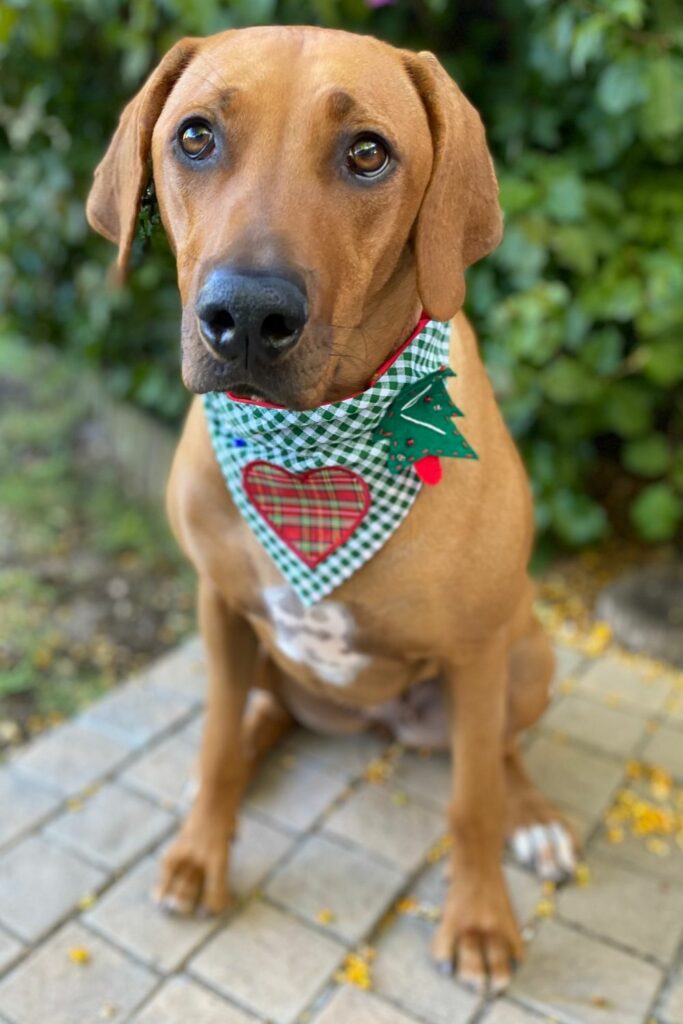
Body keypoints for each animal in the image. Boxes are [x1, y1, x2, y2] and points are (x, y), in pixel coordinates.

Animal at [87, 28, 577, 995]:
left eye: (367, 153)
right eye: (194, 136)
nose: (245, 315)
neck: (308, 456)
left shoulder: (476, 652)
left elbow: (471, 800)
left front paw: (479, 920)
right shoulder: (217, 604)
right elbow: (209, 742)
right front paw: (201, 852)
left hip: (525, 652)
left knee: (499, 752)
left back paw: (531, 814)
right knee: (259, 714)